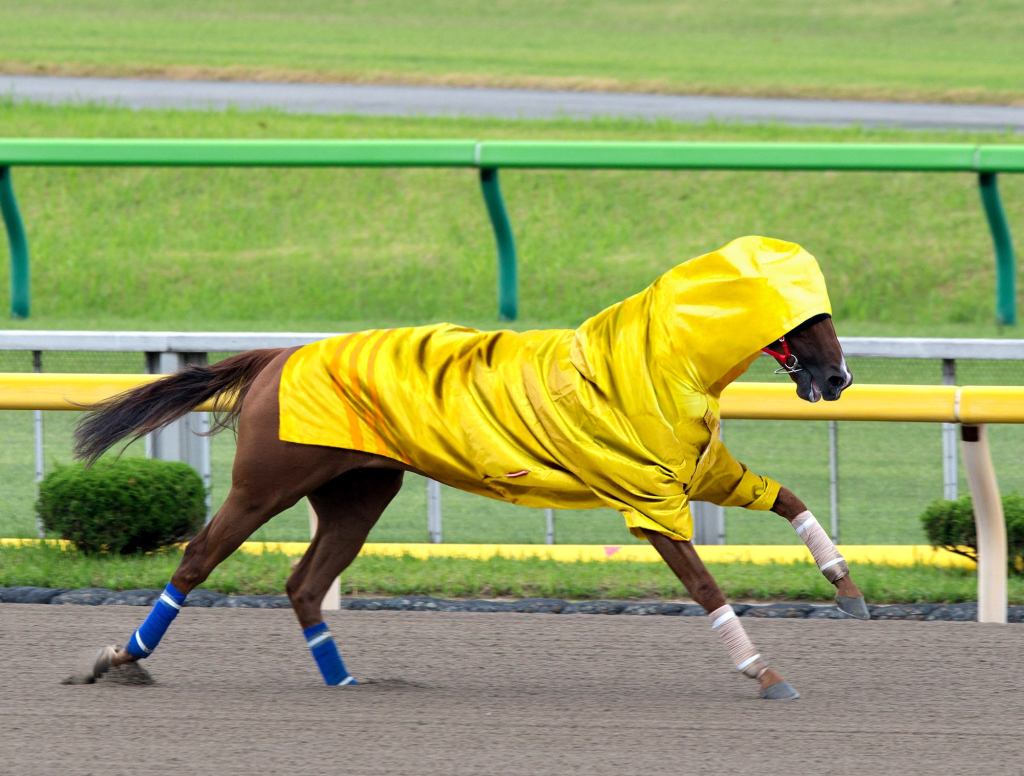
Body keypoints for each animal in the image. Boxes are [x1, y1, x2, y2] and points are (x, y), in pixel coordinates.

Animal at [68, 313, 860, 700]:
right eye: (805, 323)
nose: (840, 377)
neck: (650, 364)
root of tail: (278, 357)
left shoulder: (692, 469)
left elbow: (786, 497)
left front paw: (844, 583)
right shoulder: (646, 497)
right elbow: (703, 583)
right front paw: (762, 670)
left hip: (359, 492)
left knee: (305, 583)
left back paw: (343, 679)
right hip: (266, 483)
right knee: (199, 558)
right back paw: (119, 657)